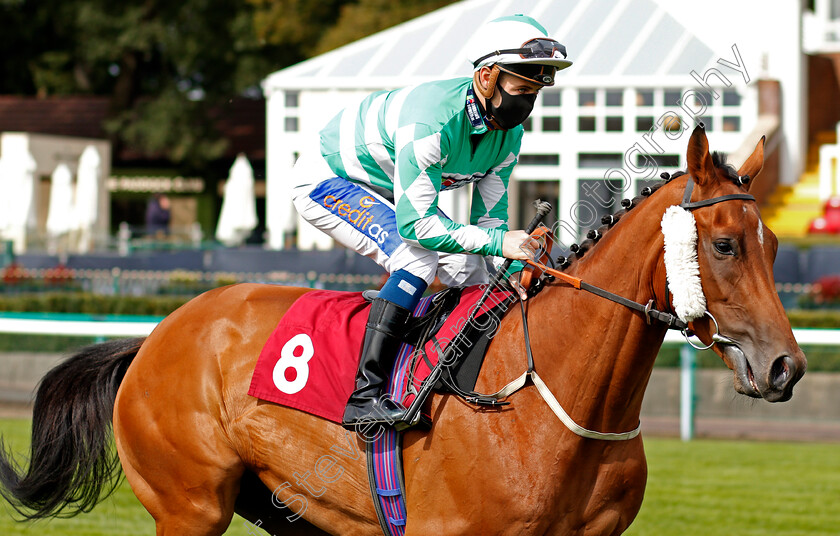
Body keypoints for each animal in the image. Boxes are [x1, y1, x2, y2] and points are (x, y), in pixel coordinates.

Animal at [0, 126, 808, 536]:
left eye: (773, 246)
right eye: (725, 245)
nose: (785, 368)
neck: (548, 404)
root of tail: (154, 338)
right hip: (189, 504)